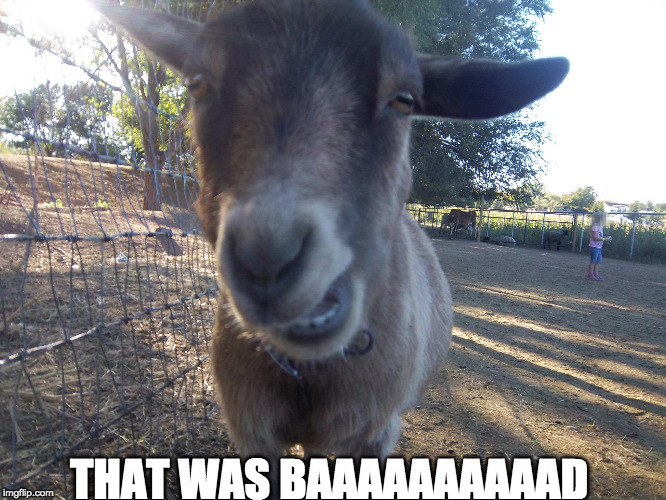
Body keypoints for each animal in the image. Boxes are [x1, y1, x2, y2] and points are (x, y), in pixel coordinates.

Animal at [97, 0, 568, 470]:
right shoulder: (251, 431)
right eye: (196, 84)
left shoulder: (372, 432)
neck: (307, 373)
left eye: (404, 100)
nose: (266, 257)